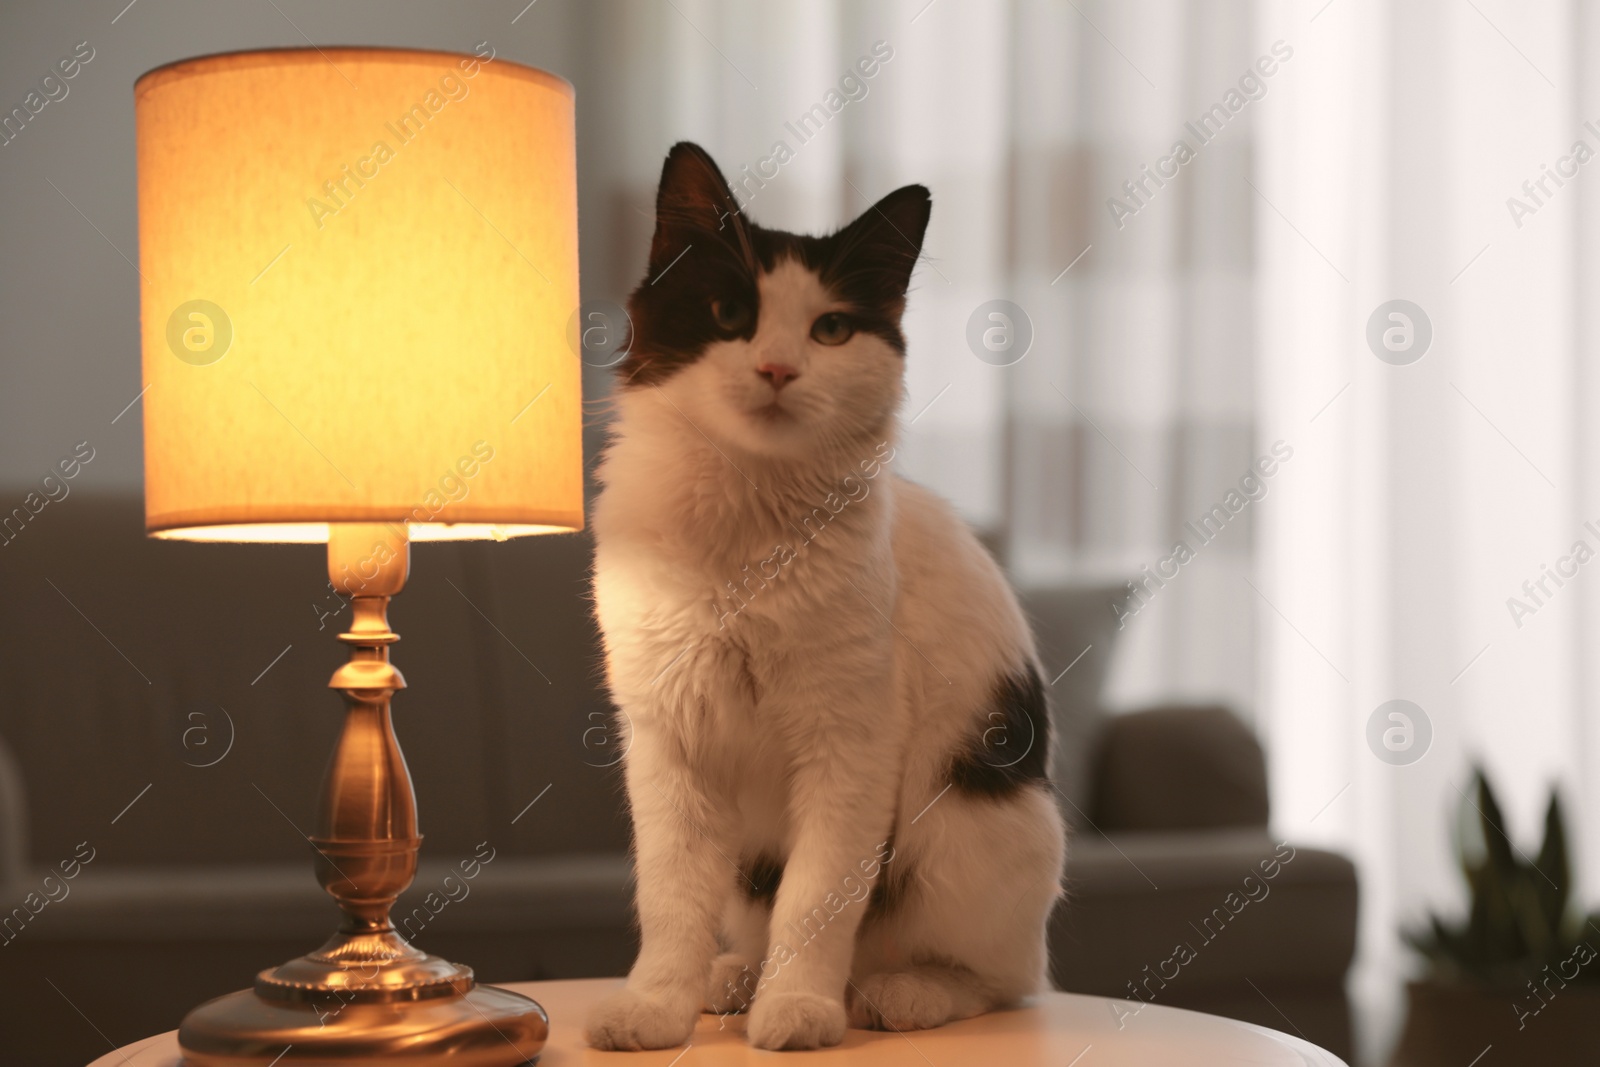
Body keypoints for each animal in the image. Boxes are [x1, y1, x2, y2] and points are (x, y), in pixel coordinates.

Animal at [585, 146, 1062, 1055]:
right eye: (729, 312)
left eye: (831, 330)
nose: (777, 369)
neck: (744, 532)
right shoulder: (667, 739)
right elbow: (670, 897)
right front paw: (657, 1006)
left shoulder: (851, 745)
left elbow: (817, 898)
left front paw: (798, 1008)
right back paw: (734, 977)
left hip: (965, 827)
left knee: (1003, 980)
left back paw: (898, 992)